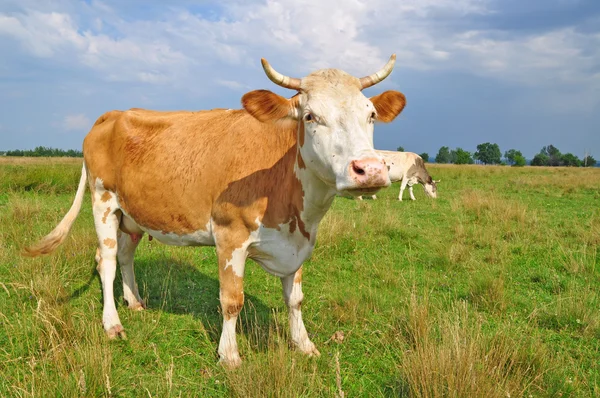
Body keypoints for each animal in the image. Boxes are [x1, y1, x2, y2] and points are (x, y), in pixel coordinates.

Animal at [23, 55, 408, 366]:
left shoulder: (299, 241)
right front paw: (230, 355)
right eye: (311, 116)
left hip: (133, 214)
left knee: (126, 255)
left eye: (371, 114)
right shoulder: (230, 237)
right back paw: (112, 324)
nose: (370, 169)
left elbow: (296, 299)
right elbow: (232, 300)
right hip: (103, 200)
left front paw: (304, 345)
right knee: (106, 261)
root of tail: (111, 114)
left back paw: (135, 302)